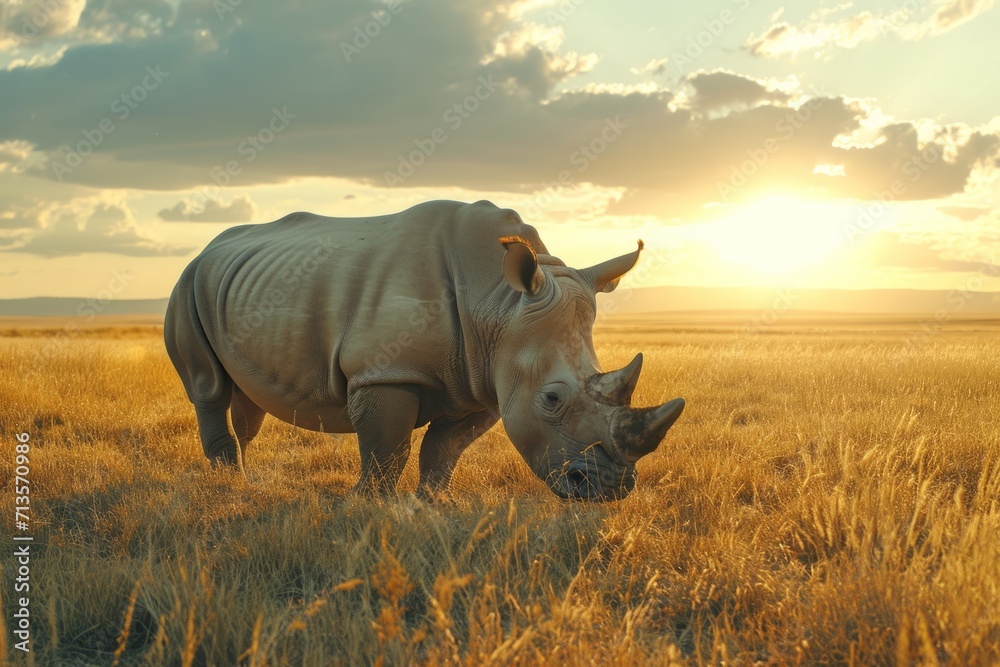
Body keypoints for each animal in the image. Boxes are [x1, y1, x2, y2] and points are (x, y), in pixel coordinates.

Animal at [164, 200, 684, 500]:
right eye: (552, 399)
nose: (610, 490)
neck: (498, 301)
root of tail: (208, 248)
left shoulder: (483, 380)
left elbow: (444, 448)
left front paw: (433, 503)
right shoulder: (387, 370)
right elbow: (387, 447)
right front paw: (367, 505)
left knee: (245, 399)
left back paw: (244, 478)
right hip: (187, 283)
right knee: (209, 387)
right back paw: (227, 483)